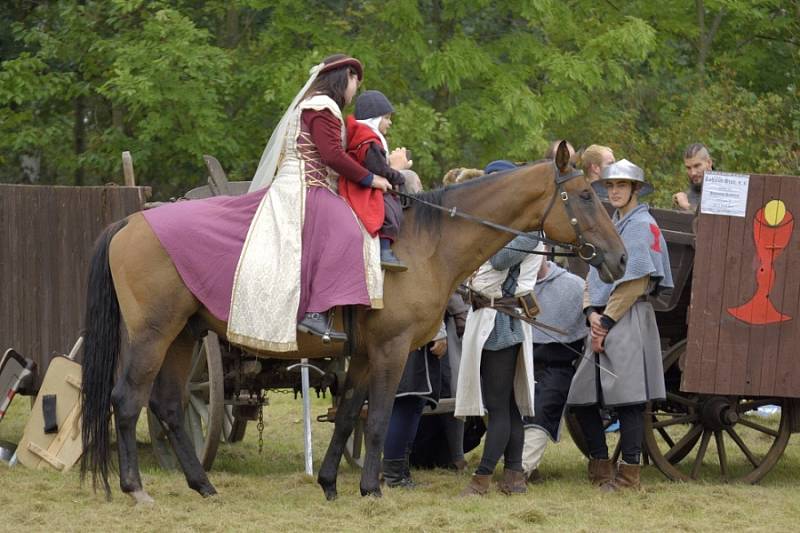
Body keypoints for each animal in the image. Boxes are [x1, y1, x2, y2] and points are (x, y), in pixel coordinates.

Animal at [81, 142, 628, 502]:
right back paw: (135, 488)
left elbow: (349, 416)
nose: (619, 259)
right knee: (127, 400)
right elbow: (381, 417)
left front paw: (328, 483)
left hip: (184, 335)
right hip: (154, 335)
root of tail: (132, 221)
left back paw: (203, 484)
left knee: (170, 406)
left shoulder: (363, 355)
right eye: (585, 195)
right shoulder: (391, 350)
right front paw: (371, 488)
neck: (424, 240)